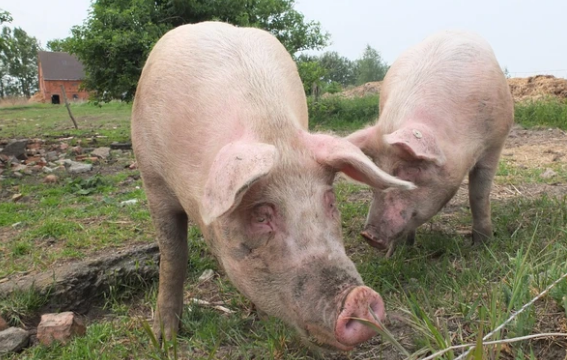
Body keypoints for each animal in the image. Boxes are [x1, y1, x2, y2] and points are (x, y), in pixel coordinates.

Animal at [132, 21, 418, 350]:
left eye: (330, 201)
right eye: (260, 216)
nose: (360, 299)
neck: (271, 131)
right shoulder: (153, 179)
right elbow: (173, 256)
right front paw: (163, 340)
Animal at [348, 30, 516, 256]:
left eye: (409, 170)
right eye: (377, 170)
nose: (369, 235)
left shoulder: (495, 141)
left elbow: (479, 195)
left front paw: (482, 245)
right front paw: (398, 252)